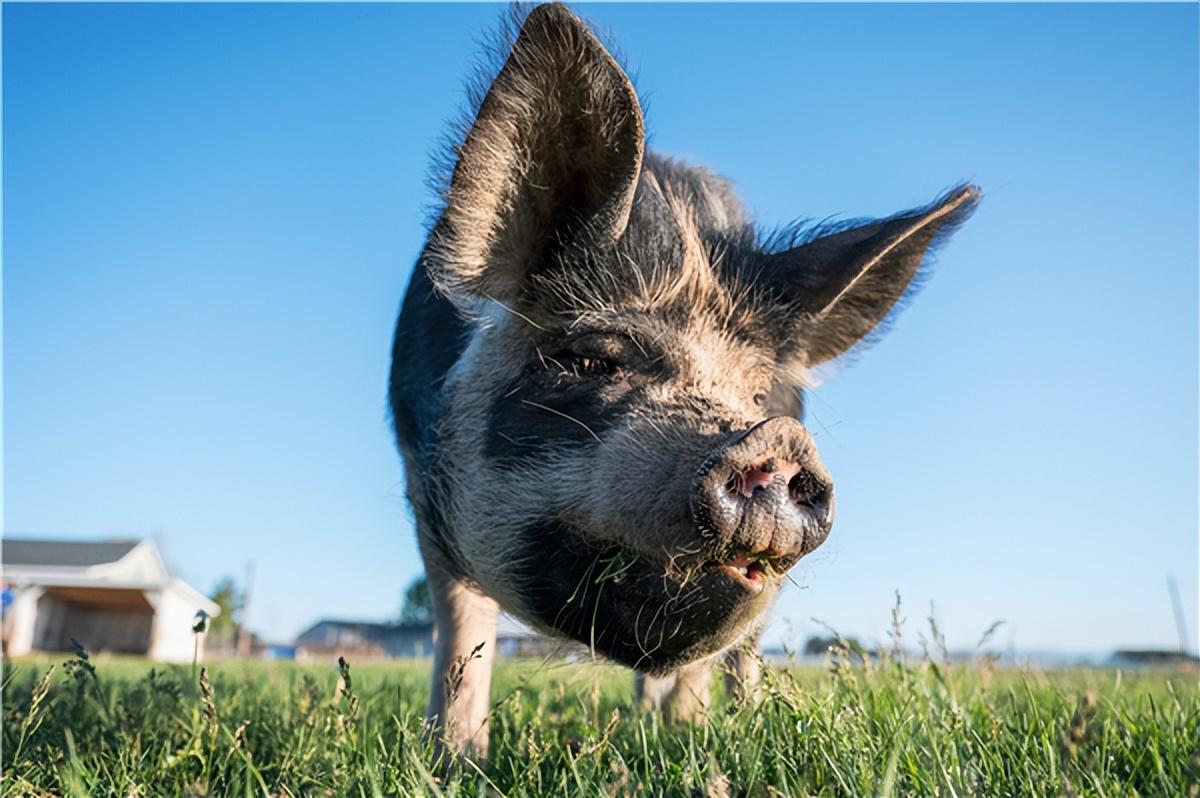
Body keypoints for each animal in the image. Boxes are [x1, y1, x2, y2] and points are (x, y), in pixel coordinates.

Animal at [388, 4, 979, 758]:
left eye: (758, 397)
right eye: (592, 360)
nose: (777, 439)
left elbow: (709, 655)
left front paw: (690, 742)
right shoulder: (423, 482)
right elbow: (463, 630)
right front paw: (456, 763)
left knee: (744, 652)